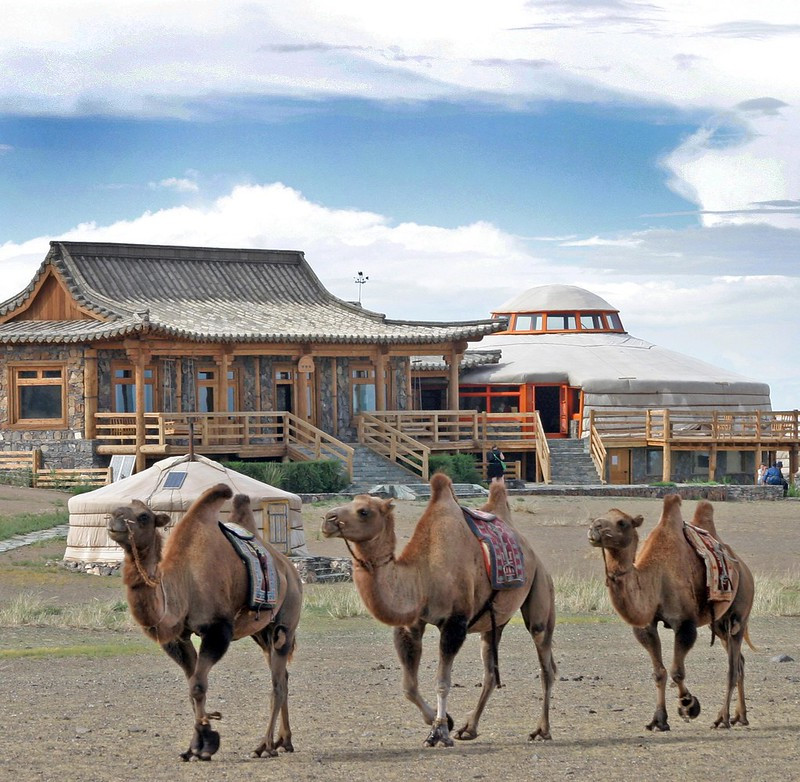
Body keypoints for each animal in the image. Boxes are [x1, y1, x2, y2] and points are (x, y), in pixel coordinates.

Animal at [107, 483, 302, 761]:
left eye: (144, 516)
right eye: (117, 508)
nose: (115, 518)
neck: (185, 584)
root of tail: (289, 569)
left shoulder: (217, 630)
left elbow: (198, 686)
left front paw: (206, 744)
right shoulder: (178, 637)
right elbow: (192, 688)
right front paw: (193, 747)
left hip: (285, 622)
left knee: (277, 684)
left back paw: (264, 746)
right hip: (261, 632)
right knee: (283, 676)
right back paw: (284, 742)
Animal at [321, 473, 556, 746]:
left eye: (364, 511)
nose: (328, 519)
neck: (424, 575)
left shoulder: (455, 623)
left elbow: (442, 682)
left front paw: (439, 732)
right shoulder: (411, 624)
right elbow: (409, 686)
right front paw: (447, 721)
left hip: (540, 587)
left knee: (546, 664)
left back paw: (542, 730)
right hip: (494, 621)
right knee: (490, 670)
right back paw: (469, 728)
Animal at [588, 494, 754, 732]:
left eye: (622, 522)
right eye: (598, 517)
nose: (595, 527)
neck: (655, 578)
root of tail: (743, 567)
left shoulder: (684, 623)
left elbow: (677, 671)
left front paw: (689, 705)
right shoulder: (647, 625)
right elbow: (659, 672)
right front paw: (659, 720)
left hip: (739, 613)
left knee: (732, 668)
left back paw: (722, 718)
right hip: (718, 624)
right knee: (739, 661)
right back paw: (740, 717)